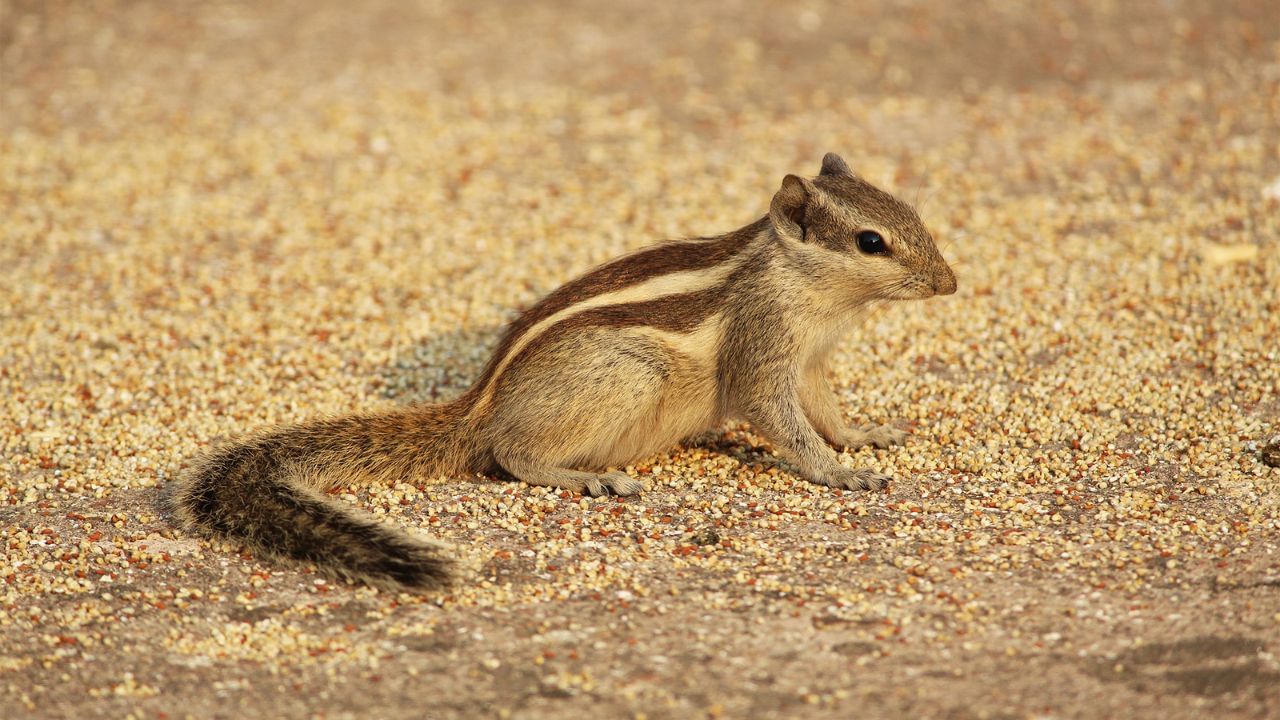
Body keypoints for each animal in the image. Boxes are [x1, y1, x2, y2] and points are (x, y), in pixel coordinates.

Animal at [170, 151, 957, 589]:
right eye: (871, 242)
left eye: (912, 213)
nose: (949, 284)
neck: (804, 284)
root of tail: (479, 406)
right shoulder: (763, 354)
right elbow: (785, 425)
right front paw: (838, 473)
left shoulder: (813, 361)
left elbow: (826, 410)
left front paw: (865, 437)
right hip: (627, 375)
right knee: (510, 455)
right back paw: (587, 477)